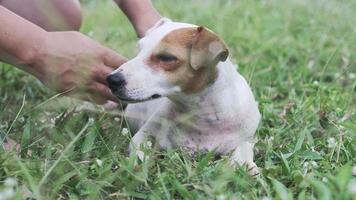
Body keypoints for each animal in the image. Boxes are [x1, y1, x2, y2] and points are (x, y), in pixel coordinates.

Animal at [107, 18, 260, 175]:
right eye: (139, 49)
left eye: (166, 57)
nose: (112, 80)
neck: (205, 116)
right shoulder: (144, 135)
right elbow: (139, 152)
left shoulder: (247, 138)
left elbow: (244, 150)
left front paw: (246, 166)